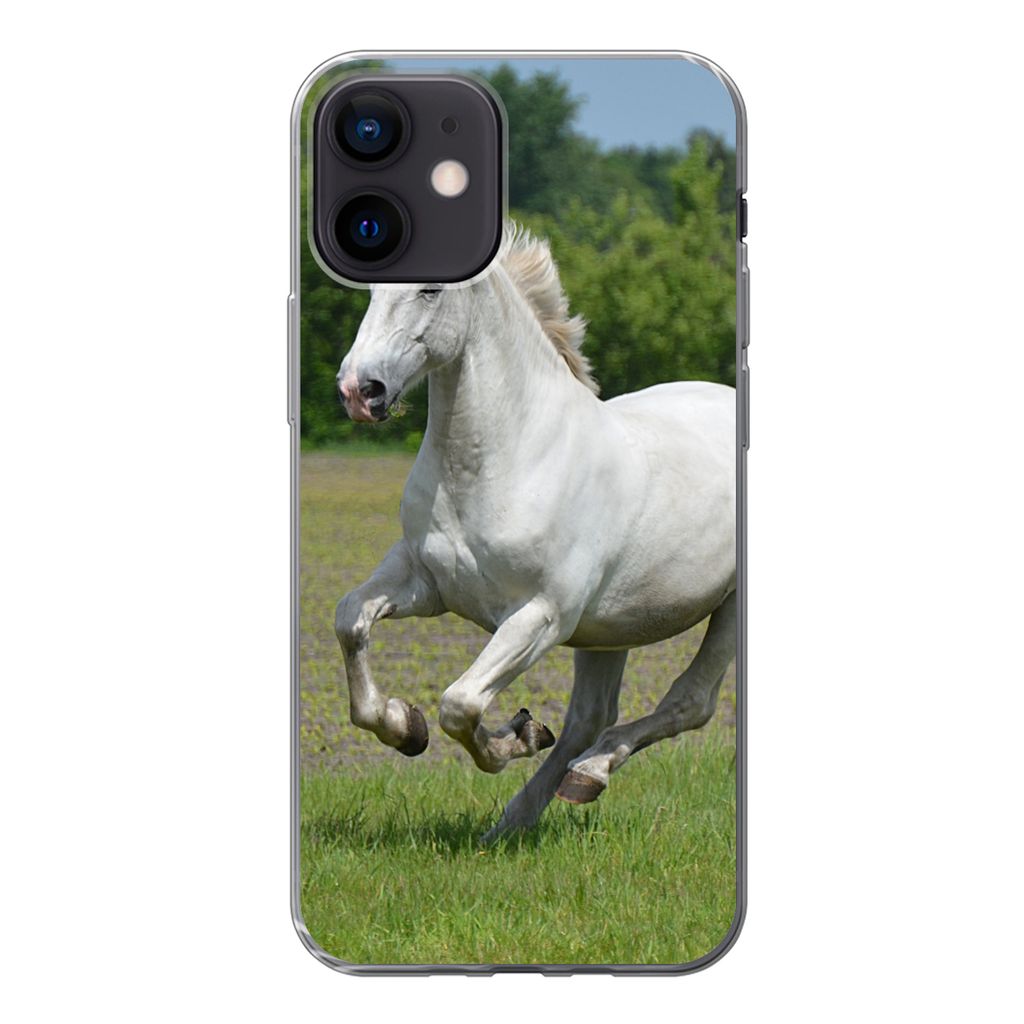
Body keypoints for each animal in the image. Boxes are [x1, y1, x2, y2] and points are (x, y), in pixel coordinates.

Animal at [333, 224, 736, 842]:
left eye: (431, 288)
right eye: (371, 290)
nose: (361, 391)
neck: (509, 457)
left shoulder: (541, 615)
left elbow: (460, 704)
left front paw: (516, 735)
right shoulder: (424, 581)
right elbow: (351, 621)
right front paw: (404, 727)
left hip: (724, 610)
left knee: (689, 703)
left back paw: (589, 772)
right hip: (610, 629)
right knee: (589, 718)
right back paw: (518, 820)